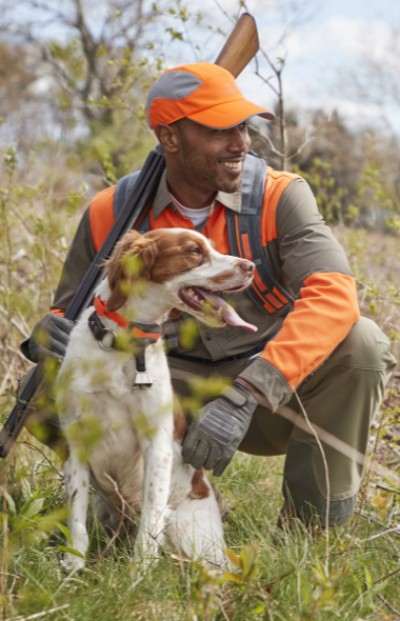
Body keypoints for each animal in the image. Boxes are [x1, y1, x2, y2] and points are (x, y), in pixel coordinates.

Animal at [56, 229, 256, 572]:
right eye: (194, 251)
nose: (251, 266)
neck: (122, 345)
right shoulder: (75, 441)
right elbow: (76, 518)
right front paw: (73, 569)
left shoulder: (157, 446)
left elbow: (151, 519)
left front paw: (140, 573)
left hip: (189, 532)